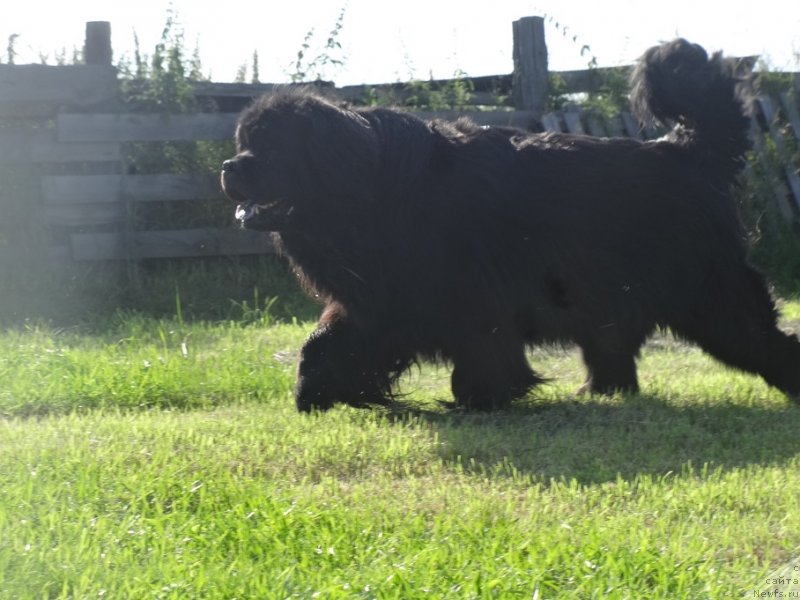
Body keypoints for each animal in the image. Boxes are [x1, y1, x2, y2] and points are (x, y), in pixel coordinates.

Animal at [222, 38, 800, 412]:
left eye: (267, 147)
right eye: (241, 143)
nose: (228, 167)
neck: (367, 191)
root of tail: (686, 151)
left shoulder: (472, 296)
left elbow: (484, 354)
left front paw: (480, 401)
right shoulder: (378, 301)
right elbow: (322, 344)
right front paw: (314, 394)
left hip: (710, 297)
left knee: (766, 341)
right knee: (612, 351)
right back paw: (600, 392)